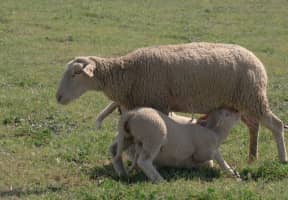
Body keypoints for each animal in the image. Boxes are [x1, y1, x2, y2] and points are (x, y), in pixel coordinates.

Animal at [55, 41, 286, 162]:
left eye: (75, 73)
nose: (58, 97)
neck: (127, 74)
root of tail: (257, 61)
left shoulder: (159, 103)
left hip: (253, 98)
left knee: (276, 125)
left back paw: (281, 159)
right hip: (241, 103)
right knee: (254, 126)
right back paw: (252, 157)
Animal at [110, 108, 241, 183]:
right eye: (227, 114)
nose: (237, 111)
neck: (215, 132)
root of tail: (132, 113)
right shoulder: (205, 151)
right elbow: (219, 159)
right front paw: (233, 174)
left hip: (127, 136)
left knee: (115, 151)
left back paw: (122, 173)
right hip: (154, 137)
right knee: (144, 161)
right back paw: (160, 180)